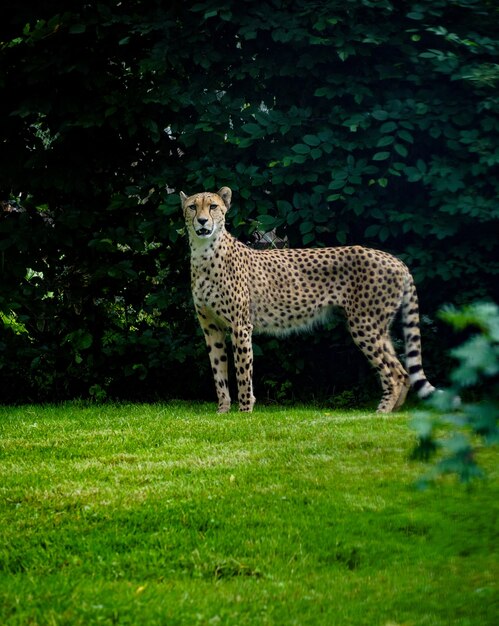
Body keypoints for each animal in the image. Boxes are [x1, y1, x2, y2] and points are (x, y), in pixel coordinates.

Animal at [181, 185, 438, 410]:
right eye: (193, 207)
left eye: (213, 206)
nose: (202, 221)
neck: (204, 252)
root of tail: (395, 259)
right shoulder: (211, 328)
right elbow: (219, 372)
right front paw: (223, 413)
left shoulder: (240, 326)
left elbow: (243, 373)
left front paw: (244, 413)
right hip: (378, 327)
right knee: (402, 372)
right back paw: (392, 415)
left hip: (365, 324)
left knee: (393, 374)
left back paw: (380, 415)